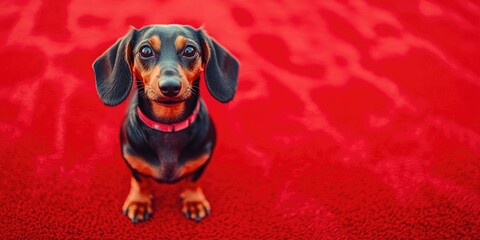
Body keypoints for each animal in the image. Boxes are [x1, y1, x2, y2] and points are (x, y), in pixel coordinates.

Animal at [93, 25, 239, 222]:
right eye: (145, 51)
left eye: (190, 50)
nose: (170, 86)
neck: (168, 127)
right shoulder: (131, 159)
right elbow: (141, 181)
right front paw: (139, 202)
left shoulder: (203, 160)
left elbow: (193, 180)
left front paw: (194, 201)